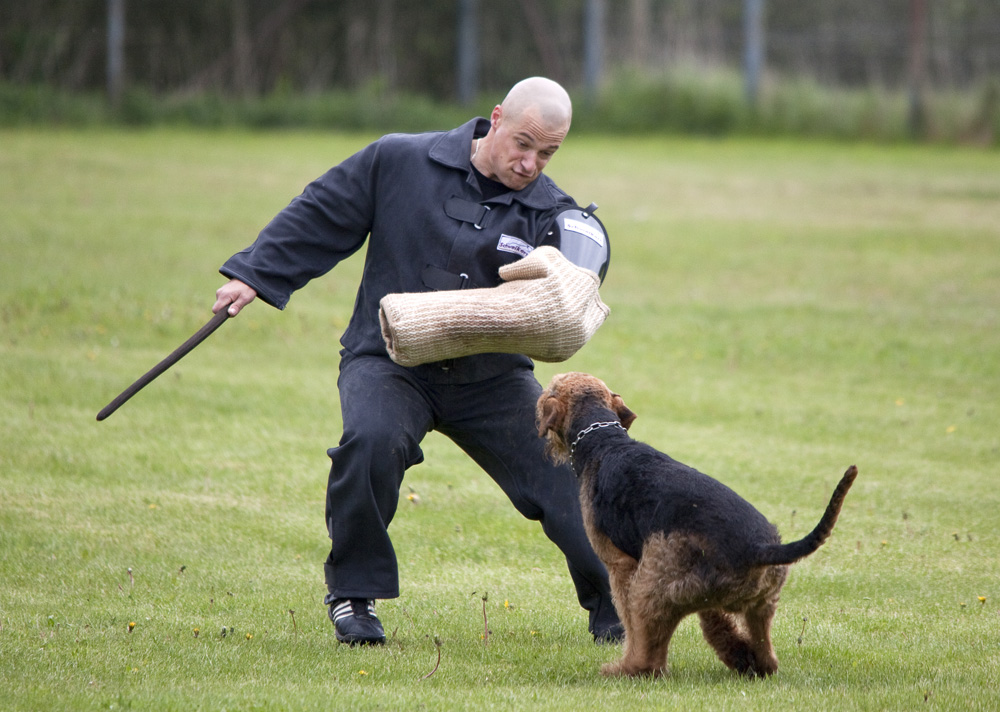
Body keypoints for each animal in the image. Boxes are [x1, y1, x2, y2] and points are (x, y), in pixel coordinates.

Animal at [536, 372, 856, 680]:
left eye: (551, 388)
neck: (603, 440)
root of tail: (759, 548)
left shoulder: (620, 566)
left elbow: (628, 620)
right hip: (753, 603)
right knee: (765, 655)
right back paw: (748, 662)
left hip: (650, 588)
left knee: (649, 653)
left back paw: (624, 669)